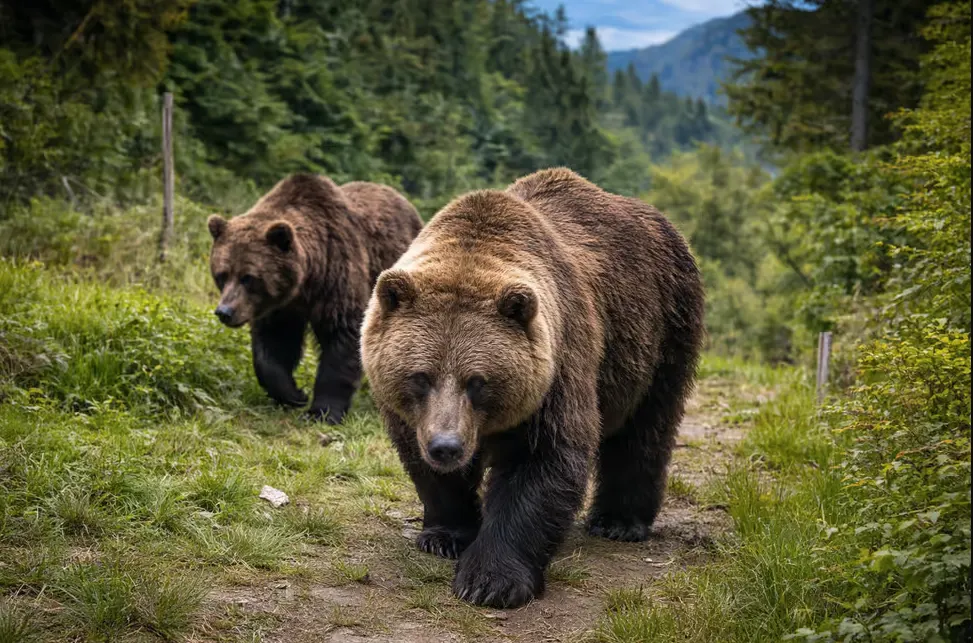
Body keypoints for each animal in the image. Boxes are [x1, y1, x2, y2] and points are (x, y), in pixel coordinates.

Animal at [208, 173, 422, 424]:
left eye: (248, 277)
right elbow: (273, 346)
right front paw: (294, 394)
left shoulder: (337, 276)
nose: (225, 311)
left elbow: (341, 336)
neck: (306, 282)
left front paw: (322, 412)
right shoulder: (281, 308)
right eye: (222, 274)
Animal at [360, 168, 704, 608]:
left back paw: (619, 521)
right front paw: (444, 535)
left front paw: (491, 580)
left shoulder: (557, 365)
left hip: (661, 328)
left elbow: (542, 461)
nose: (446, 446)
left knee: (646, 427)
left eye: (478, 381)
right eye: (421, 376)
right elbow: (423, 464)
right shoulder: (413, 415)